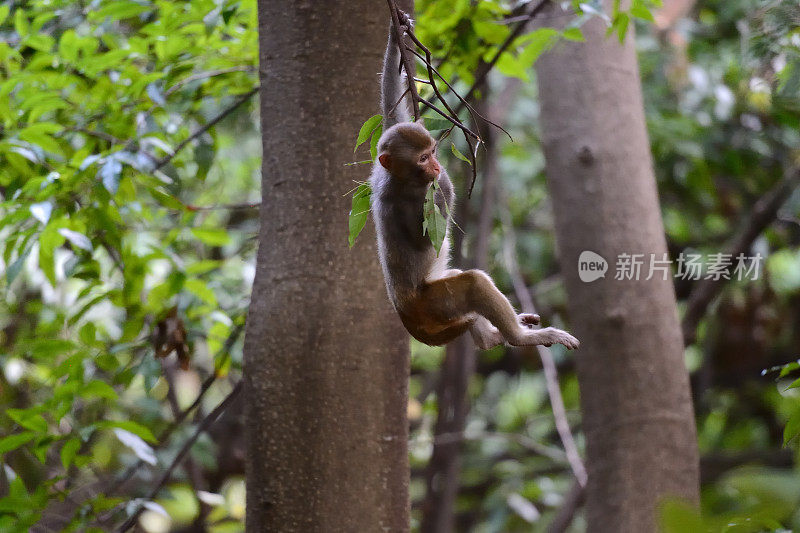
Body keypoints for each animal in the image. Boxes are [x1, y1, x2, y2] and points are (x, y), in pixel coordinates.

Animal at [366, 14, 580, 350]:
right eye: (424, 158)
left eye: (431, 152)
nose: (436, 165)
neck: (401, 177)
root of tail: (406, 316)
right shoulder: (403, 199)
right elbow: (427, 238)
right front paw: (444, 184)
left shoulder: (379, 171)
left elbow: (392, 114)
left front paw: (396, 33)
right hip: (434, 305)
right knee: (472, 284)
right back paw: (520, 338)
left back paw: (492, 338)